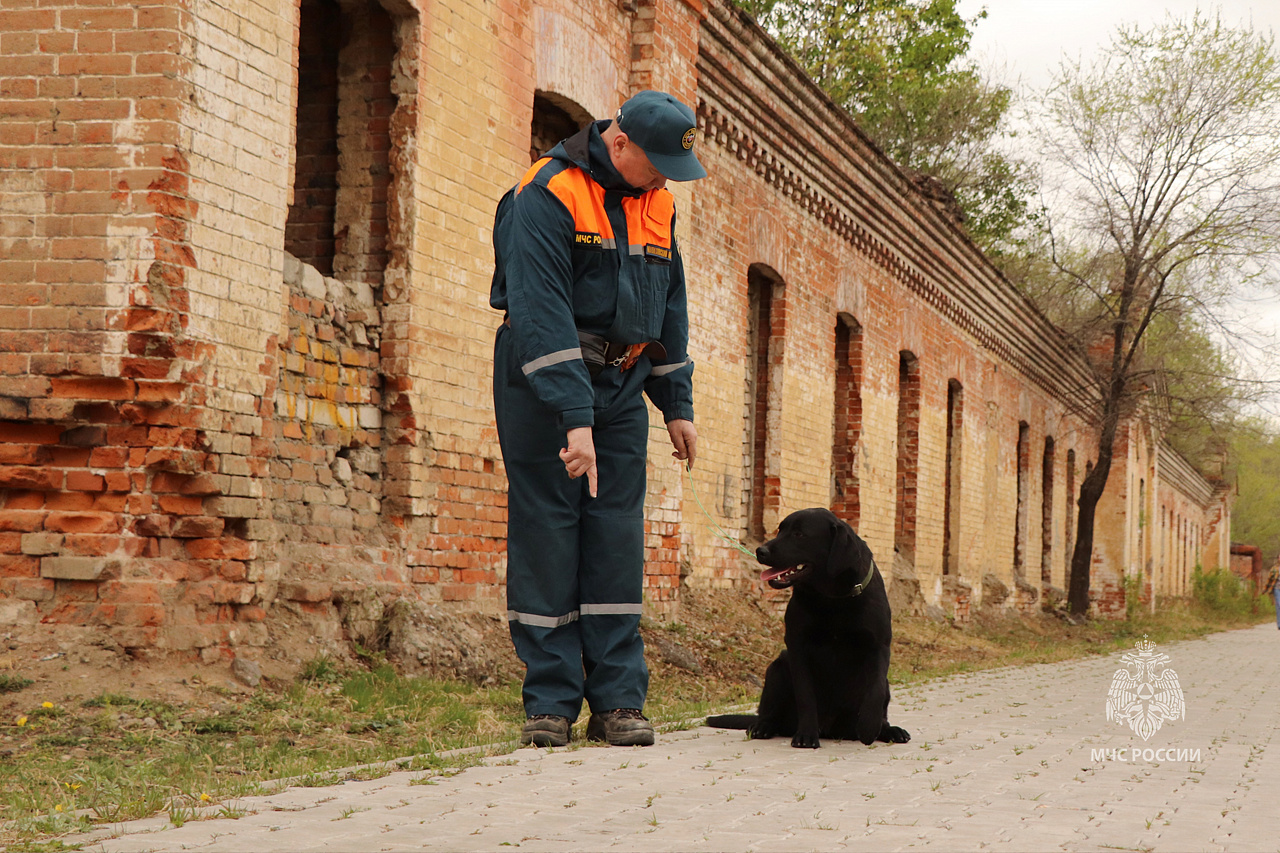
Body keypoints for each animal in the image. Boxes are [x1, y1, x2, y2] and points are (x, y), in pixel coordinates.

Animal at [711, 504, 911, 742]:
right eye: (780, 530)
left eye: (799, 534)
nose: (761, 551)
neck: (832, 598)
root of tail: (830, 729)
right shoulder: (798, 647)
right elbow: (805, 696)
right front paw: (806, 735)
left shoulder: (879, 645)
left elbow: (876, 688)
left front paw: (870, 727)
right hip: (778, 667)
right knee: (769, 713)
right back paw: (763, 726)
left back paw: (888, 730)